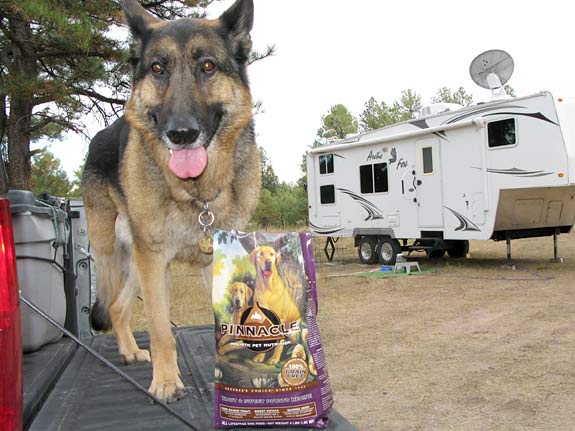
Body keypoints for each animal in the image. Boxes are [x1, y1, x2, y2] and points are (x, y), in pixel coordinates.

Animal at [81, 0, 260, 404]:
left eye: (207, 66)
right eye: (157, 68)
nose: (181, 134)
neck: (196, 195)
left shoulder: (212, 260)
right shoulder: (155, 261)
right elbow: (162, 330)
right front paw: (165, 382)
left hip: (138, 263)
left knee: (118, 306)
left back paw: (130, 350)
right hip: (118, 254)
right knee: (113, 303)